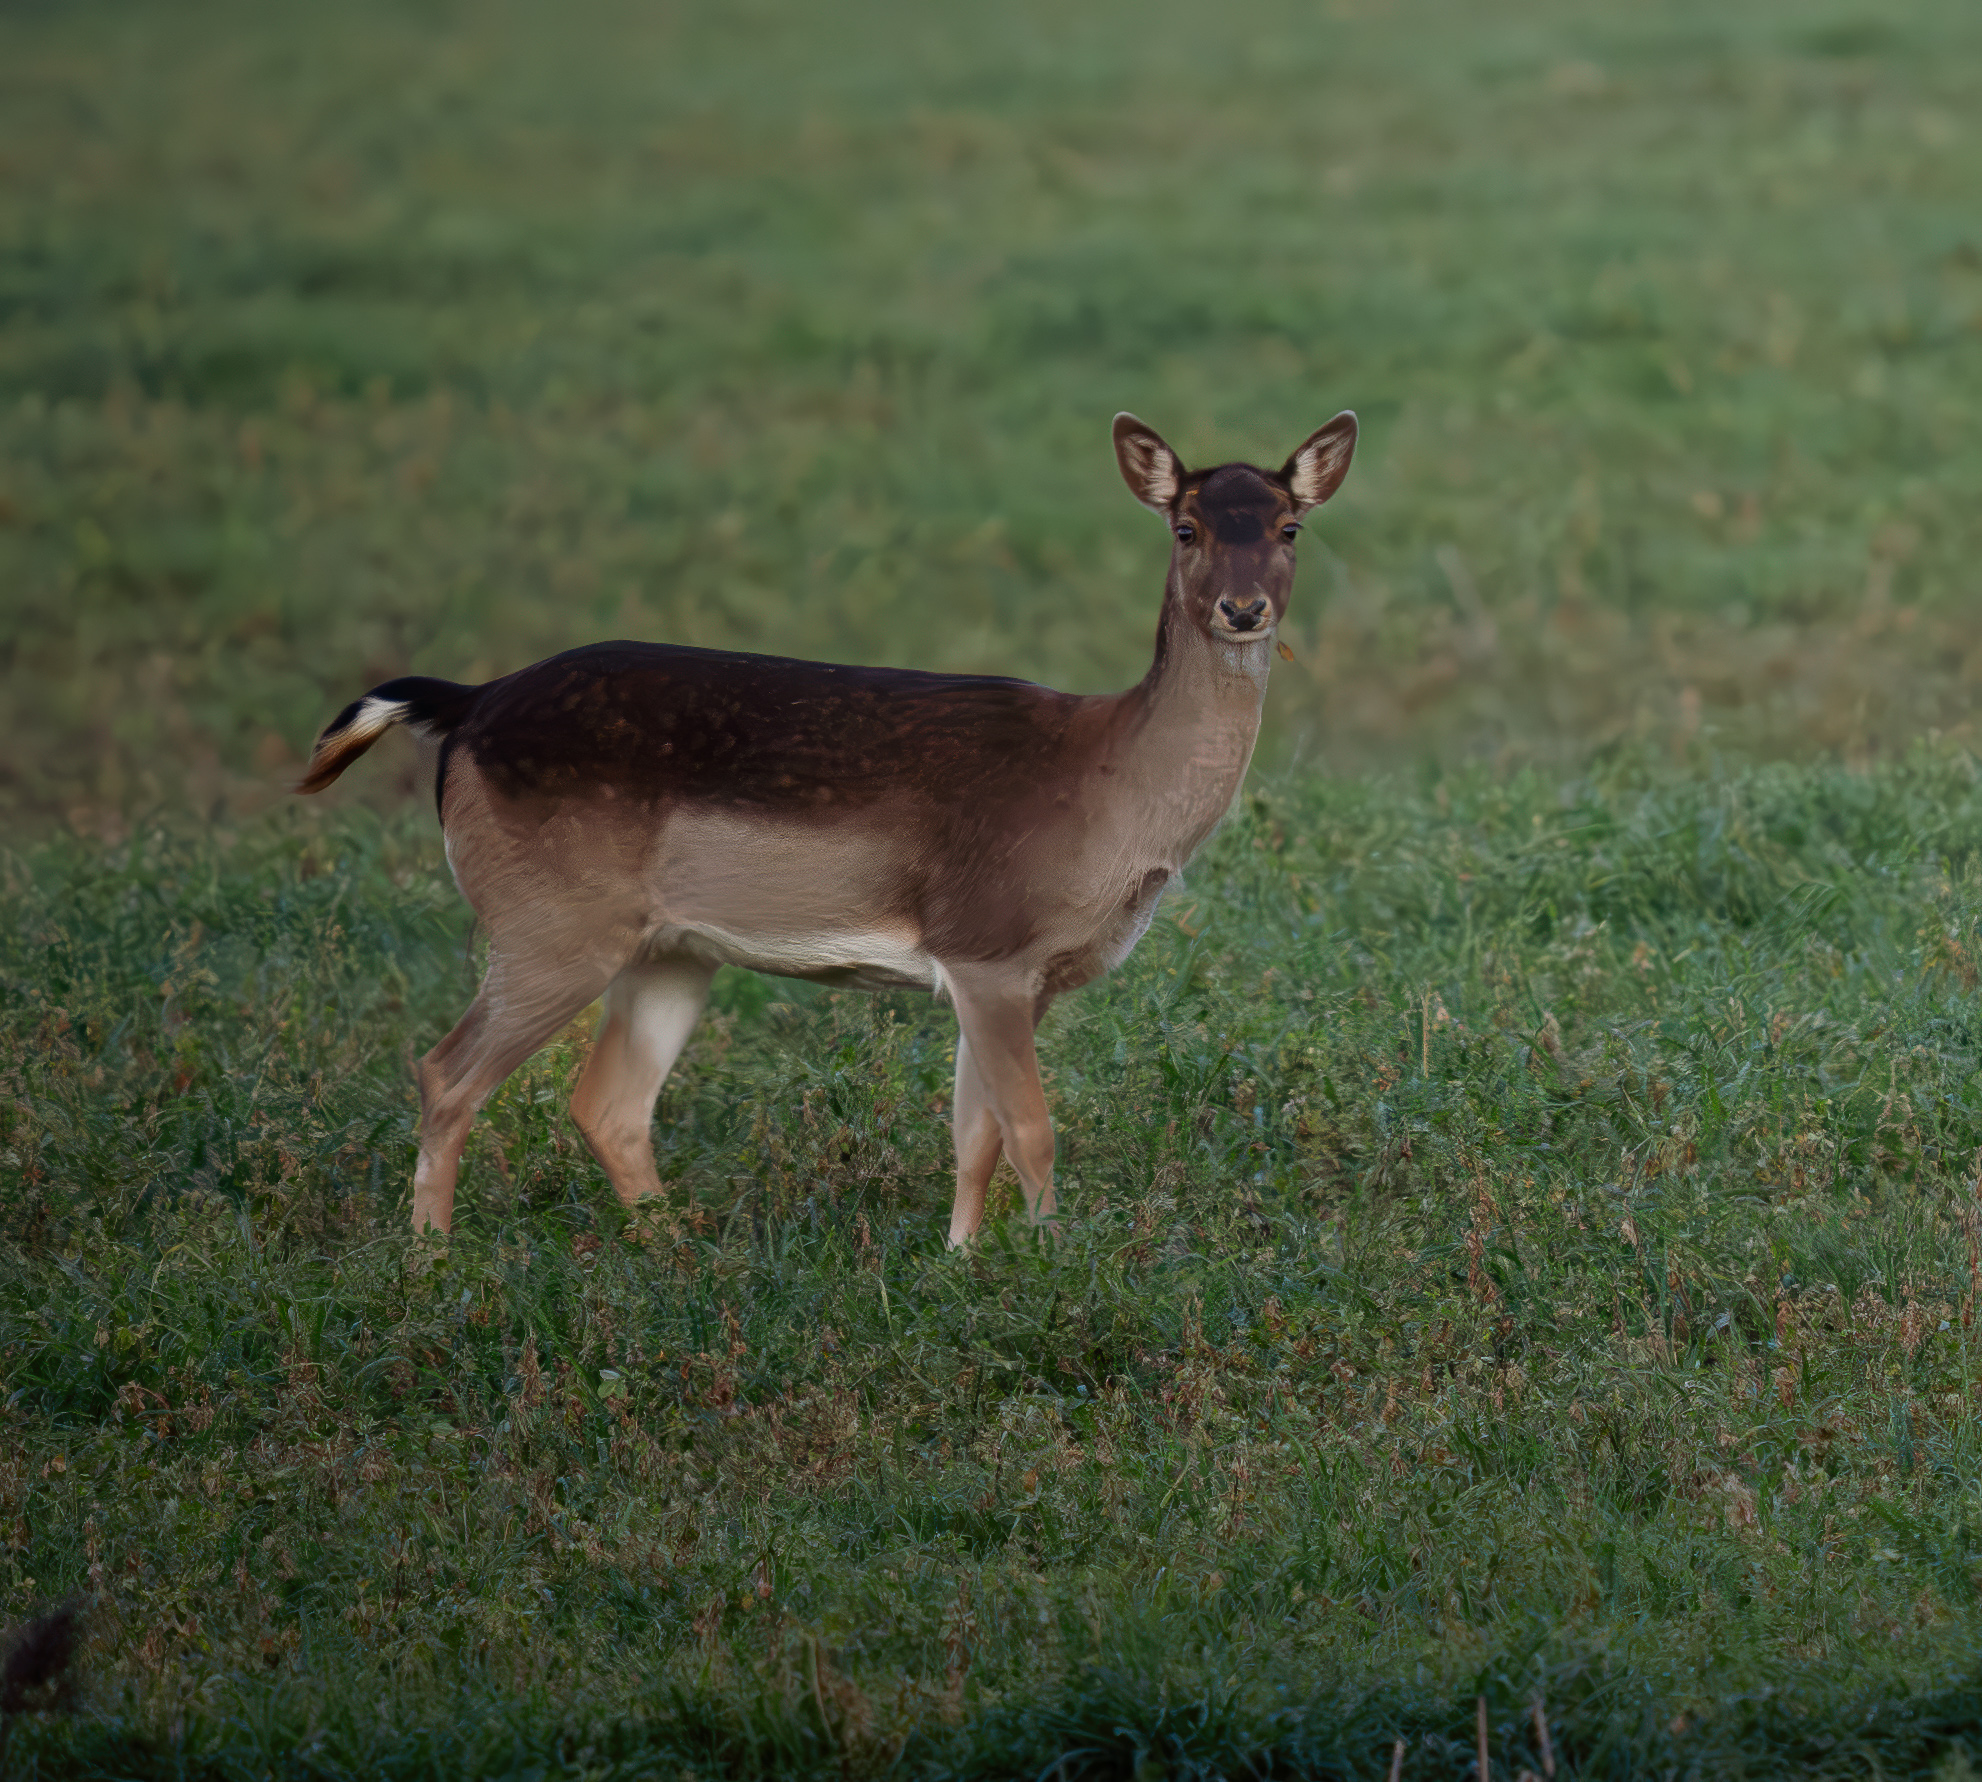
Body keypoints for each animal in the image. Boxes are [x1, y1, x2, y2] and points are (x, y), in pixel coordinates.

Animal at [298, 411, 1357, 1243]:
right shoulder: (988, 940)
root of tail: (464, 707)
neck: (1108, 793)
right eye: (1184, 526)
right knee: (449, 1072)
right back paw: (432, 1261)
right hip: (548, 918)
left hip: (667, 948)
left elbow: (973, 1135)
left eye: (1289, 526)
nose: (1244, 608)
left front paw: (961, 1262)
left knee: (607, 1102)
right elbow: (1031, 1129)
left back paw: (674, 1251)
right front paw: (1057, 1264)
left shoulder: (1008, 973)